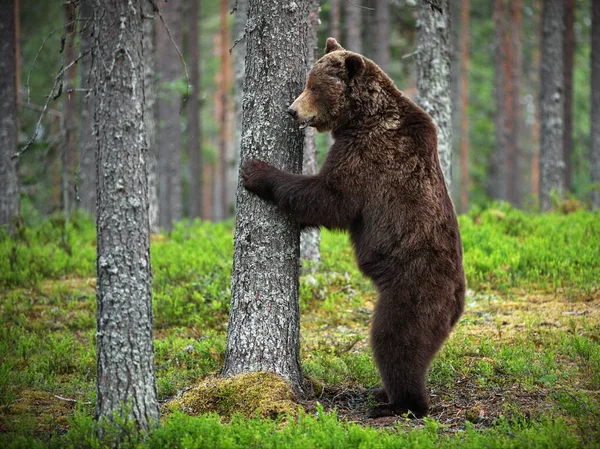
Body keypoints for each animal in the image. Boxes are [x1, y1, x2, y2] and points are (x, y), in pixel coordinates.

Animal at [239, 37, 464, 416]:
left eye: (314, 87)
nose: (291, 110)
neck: (362, 116)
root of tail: (458, 303)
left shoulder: (369, 155)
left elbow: (331, 198)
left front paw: (255, 170)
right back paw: (381, 393)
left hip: (413, 289)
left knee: (395, 340)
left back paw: (399, 403)